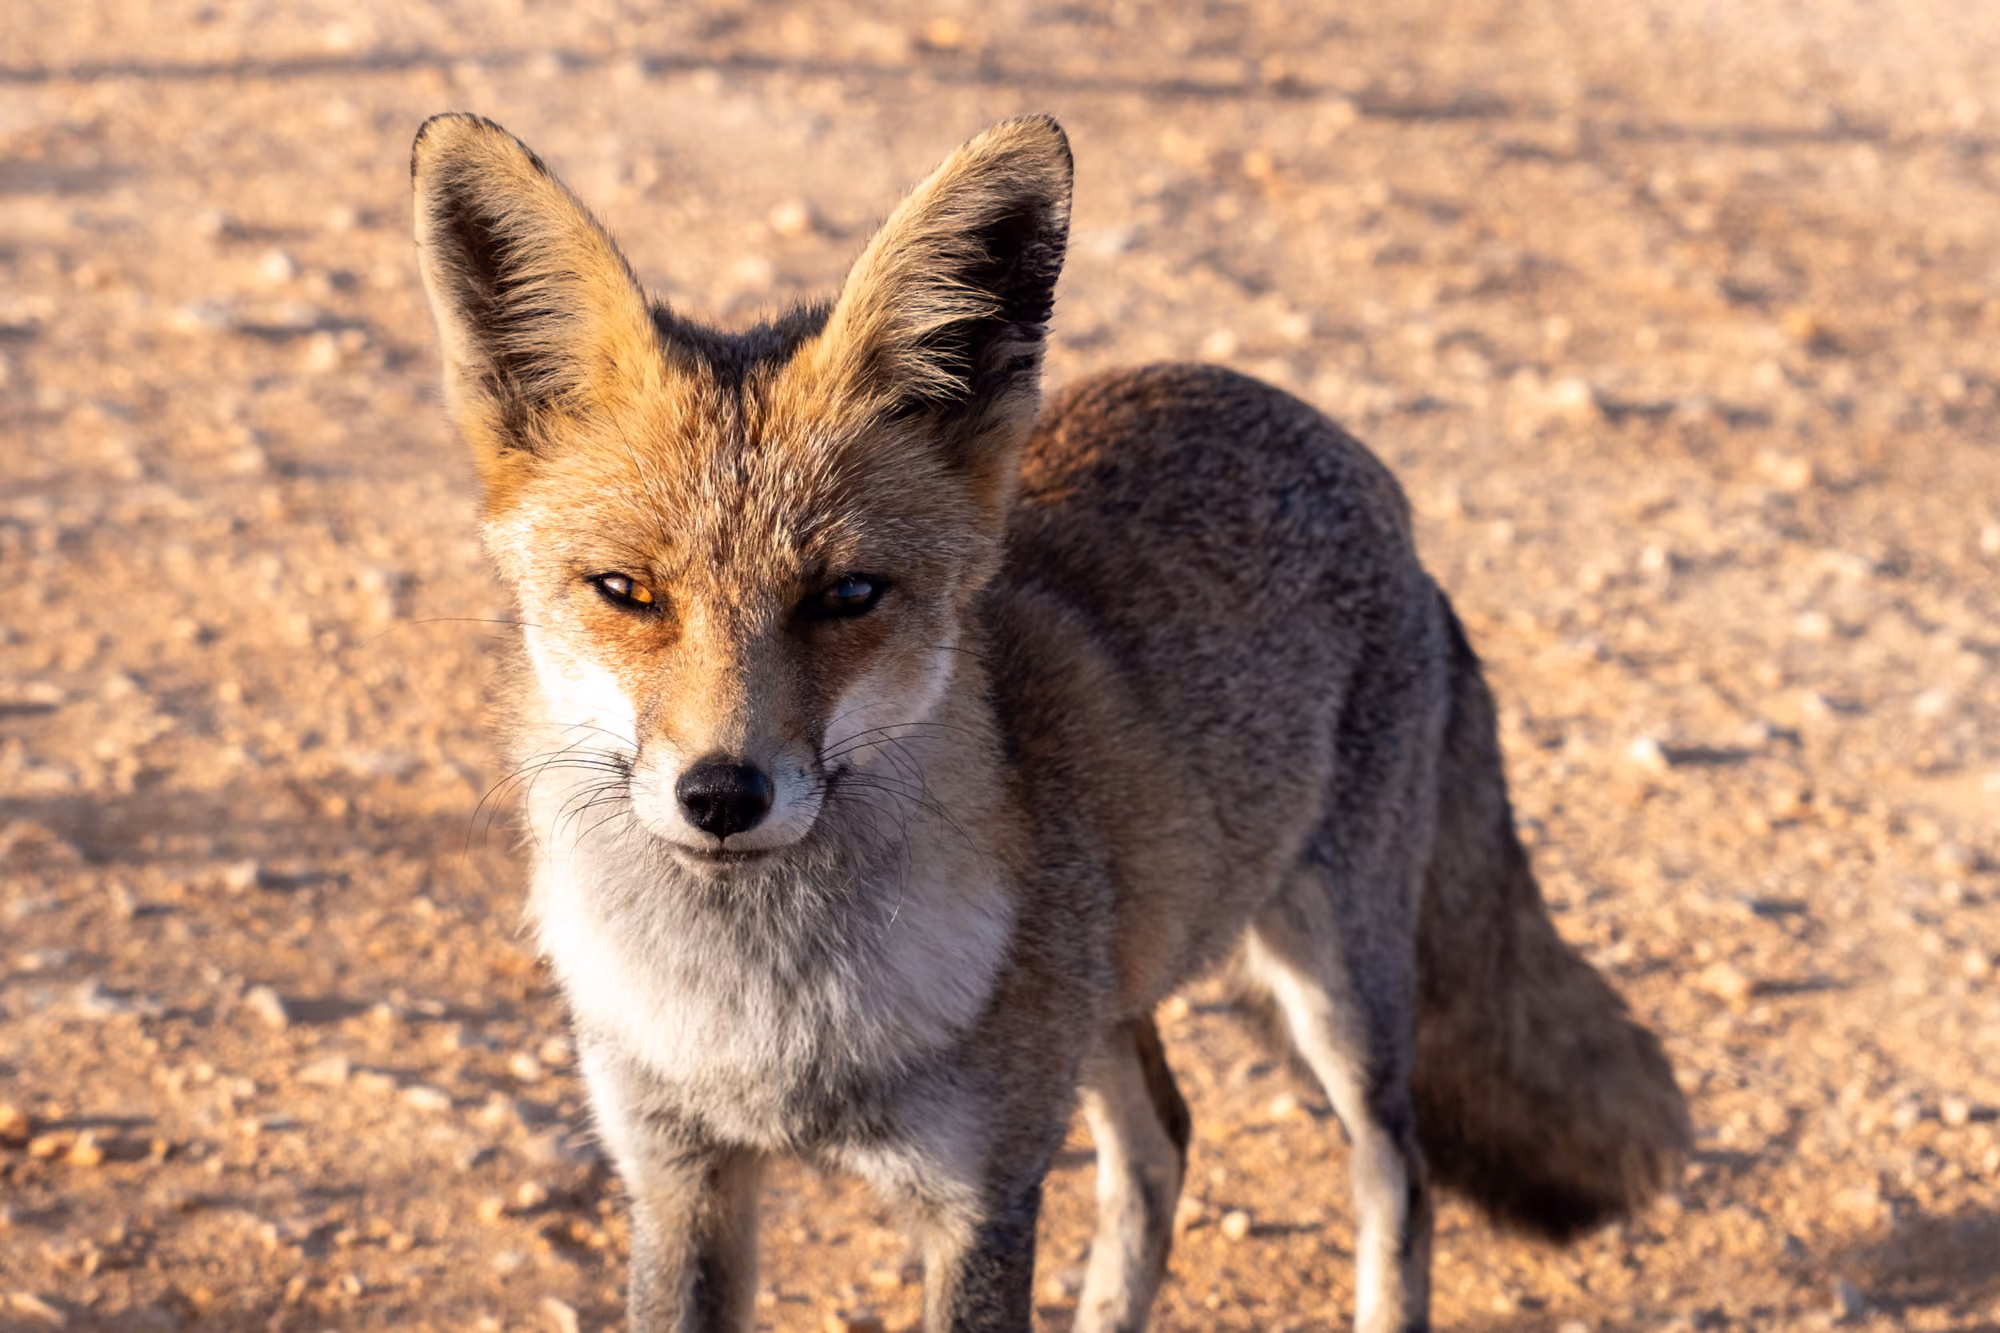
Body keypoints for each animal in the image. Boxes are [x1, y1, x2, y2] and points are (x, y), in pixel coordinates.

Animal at [411, 112, 1691, 1333]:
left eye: (847, 595)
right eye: (625, 591)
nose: (722, 793)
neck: (761, 1028)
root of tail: (1350, 458)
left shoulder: (982, 1193)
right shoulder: (679, 1180)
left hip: (1337, 986)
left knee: (1396, 1176)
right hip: (1114, 999)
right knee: (1163, 1144)